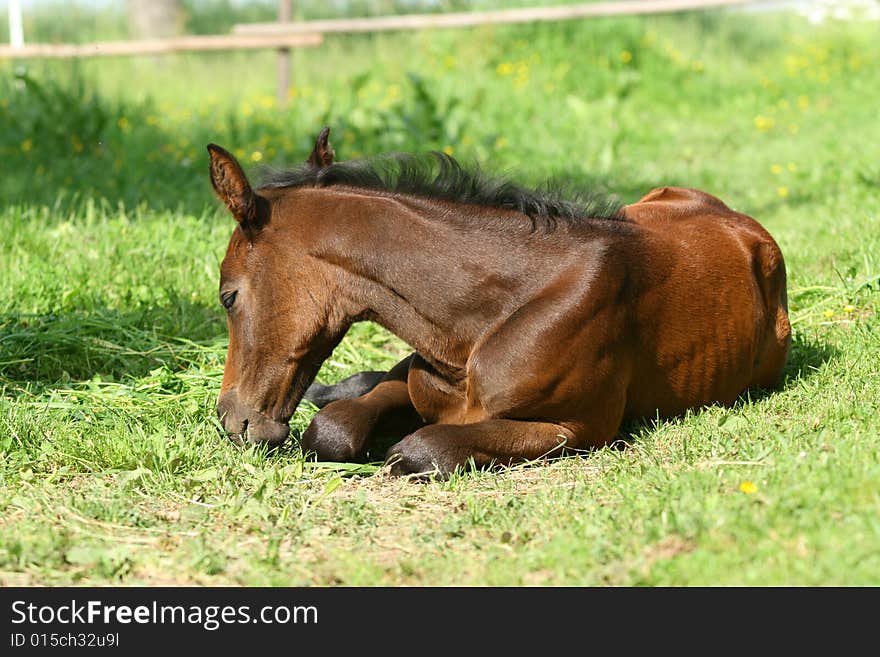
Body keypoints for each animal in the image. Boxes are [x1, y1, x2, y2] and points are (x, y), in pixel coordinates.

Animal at [208, 129, 792, 476]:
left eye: (228, 296)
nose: (233, 421)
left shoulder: (578, 430)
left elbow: (420, 448)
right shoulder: (416, 377)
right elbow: (333, 429)